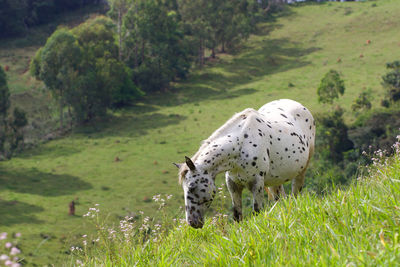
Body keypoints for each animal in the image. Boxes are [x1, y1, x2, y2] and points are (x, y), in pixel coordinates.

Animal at [175, 99, 316, 229]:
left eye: (192, 187)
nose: (193, 222)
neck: (241, 145)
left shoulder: (257, 184)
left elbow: (257, 212)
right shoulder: (233, 185)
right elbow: (237, 216)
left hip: (301, 172)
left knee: (295, 194)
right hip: (275, 180)